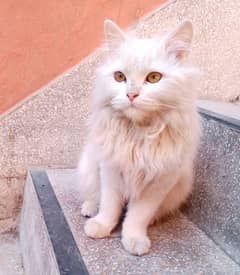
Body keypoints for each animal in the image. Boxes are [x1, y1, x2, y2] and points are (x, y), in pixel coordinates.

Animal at [77, 19, 201, 256]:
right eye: (119, 77)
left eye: (154, 78)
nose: (131, 94)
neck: (139, 134)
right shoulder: (110, 170)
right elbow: (109, 205)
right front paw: (100, 227)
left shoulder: (160, 182)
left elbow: (138, 216)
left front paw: (134, 239)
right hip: (89, 165)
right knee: (93, 195)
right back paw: (89, 209)